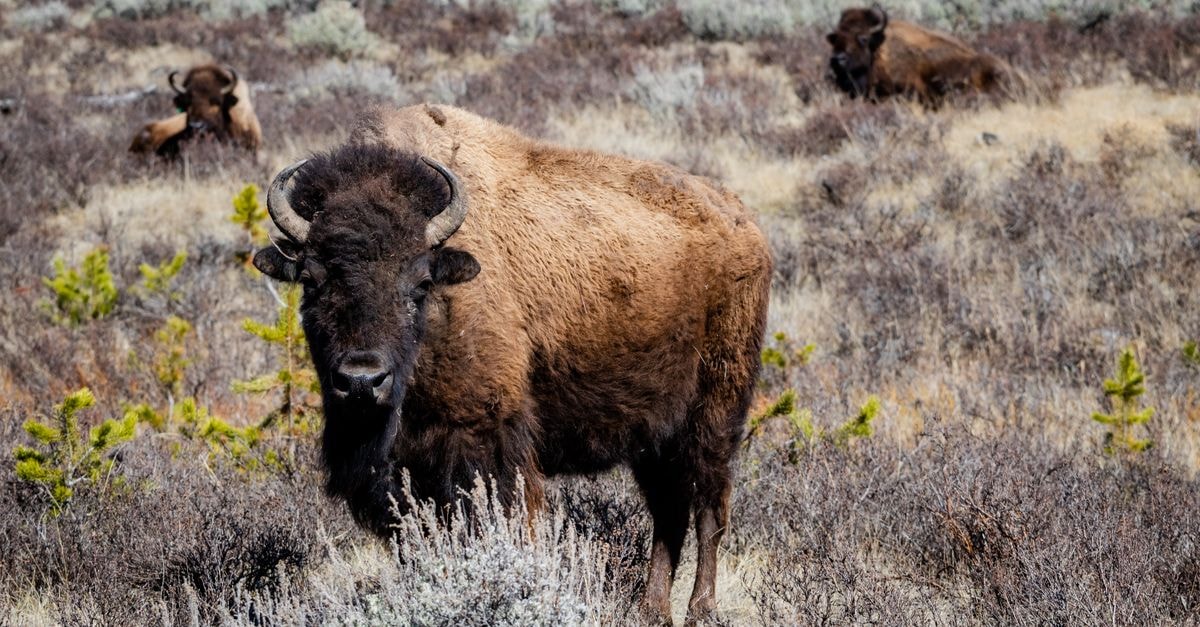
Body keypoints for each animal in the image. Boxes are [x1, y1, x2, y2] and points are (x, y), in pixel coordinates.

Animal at [252, 104, 772, 623]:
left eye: (420, 283)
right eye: (312, 280)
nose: (362, 381)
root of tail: (745, 224)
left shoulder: (486, 444)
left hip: (715, 414)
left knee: (709, 508)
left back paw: (700, 610)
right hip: (655, 435)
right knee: (669, 512)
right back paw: (651, 610)